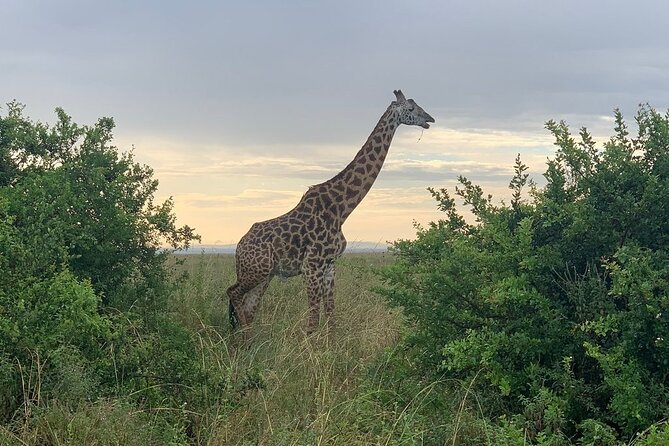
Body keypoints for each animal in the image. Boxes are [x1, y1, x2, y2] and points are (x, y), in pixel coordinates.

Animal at [226, 90, 434, 334]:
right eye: (411, 109)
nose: (429, 119)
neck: (341, 209)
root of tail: (239, 248)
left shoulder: (329, 265)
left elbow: (330, 314)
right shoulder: (312, 265)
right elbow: (313, 320)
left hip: (264, 275)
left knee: (249, 309)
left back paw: (246, 341)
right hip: (256, 271)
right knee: (232, 293)